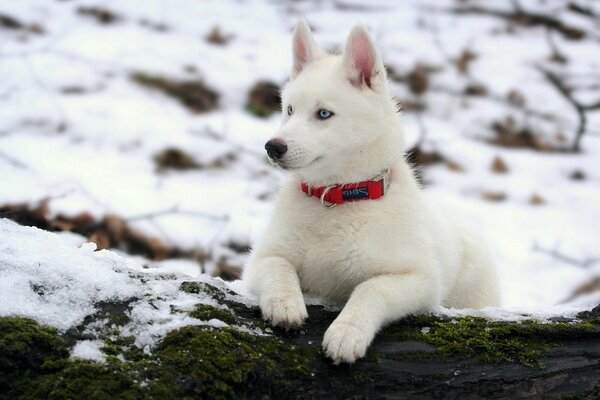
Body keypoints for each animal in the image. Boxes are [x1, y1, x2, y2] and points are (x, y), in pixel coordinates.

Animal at [241, 18, 500, 364]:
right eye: (290, 110)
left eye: (324, 114)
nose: (272, 147)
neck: (336, 197)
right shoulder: (261, 258)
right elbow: (277, 267)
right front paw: (284, 303)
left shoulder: (420, 279)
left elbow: (370, 289)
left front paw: (346, 332)